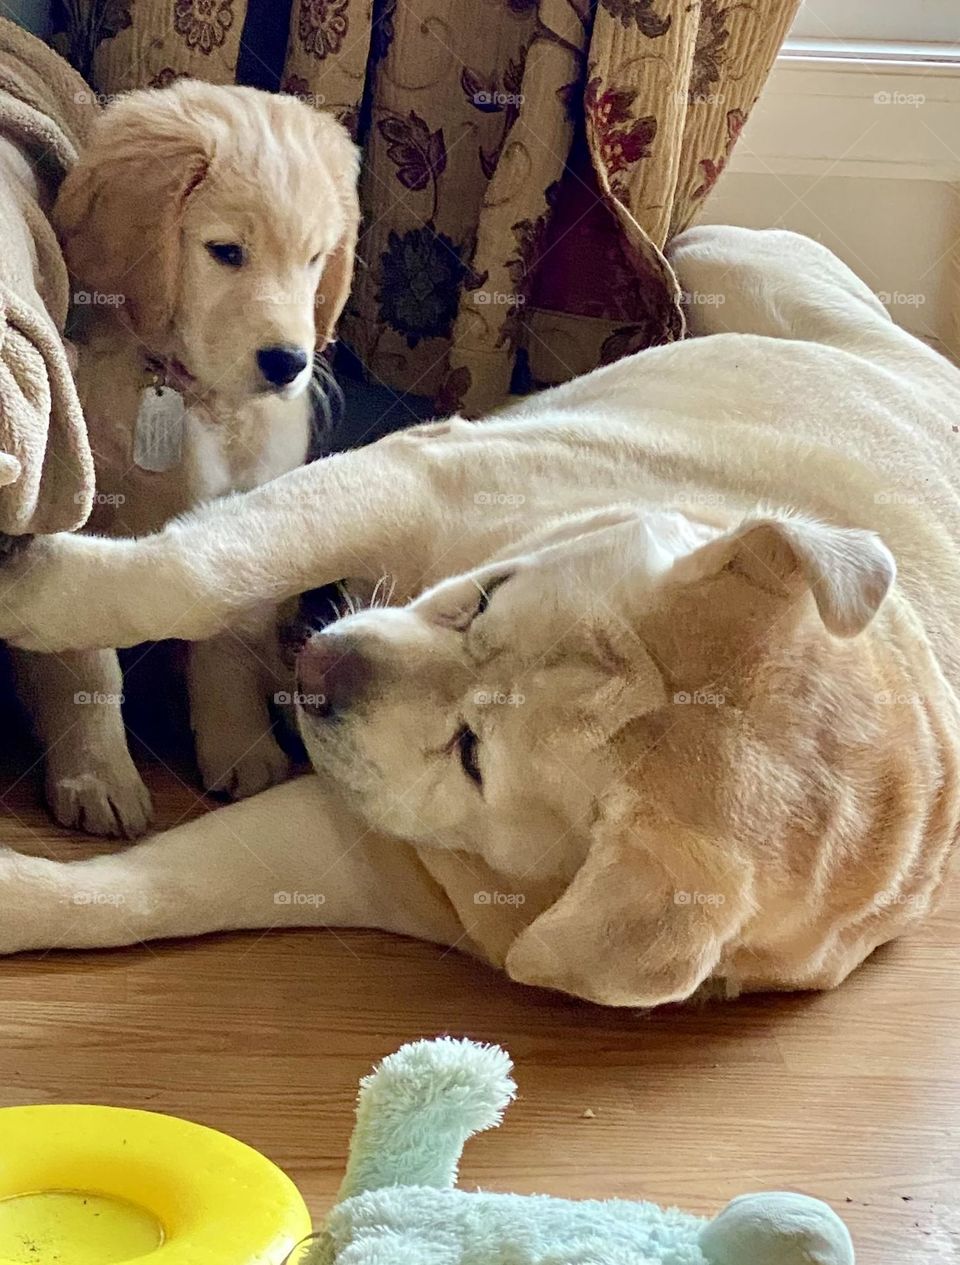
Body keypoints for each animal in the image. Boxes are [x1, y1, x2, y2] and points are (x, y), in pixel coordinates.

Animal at [1, 222, 960, 1001]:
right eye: (486, 597)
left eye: (472, 756)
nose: (317, 672)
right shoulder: (415, 476)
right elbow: (197, 568)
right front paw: (31, 591)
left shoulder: (377, 854)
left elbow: (150, 888)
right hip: (719, 254)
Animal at [13, 76, 359, 829]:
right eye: (225, 252)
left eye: (315, 259)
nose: (289, 363)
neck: (189, 397)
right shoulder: (72, 523)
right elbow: (84, 658)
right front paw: (97, 777)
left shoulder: (244, 515)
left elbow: (226, 639)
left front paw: (241, 747)